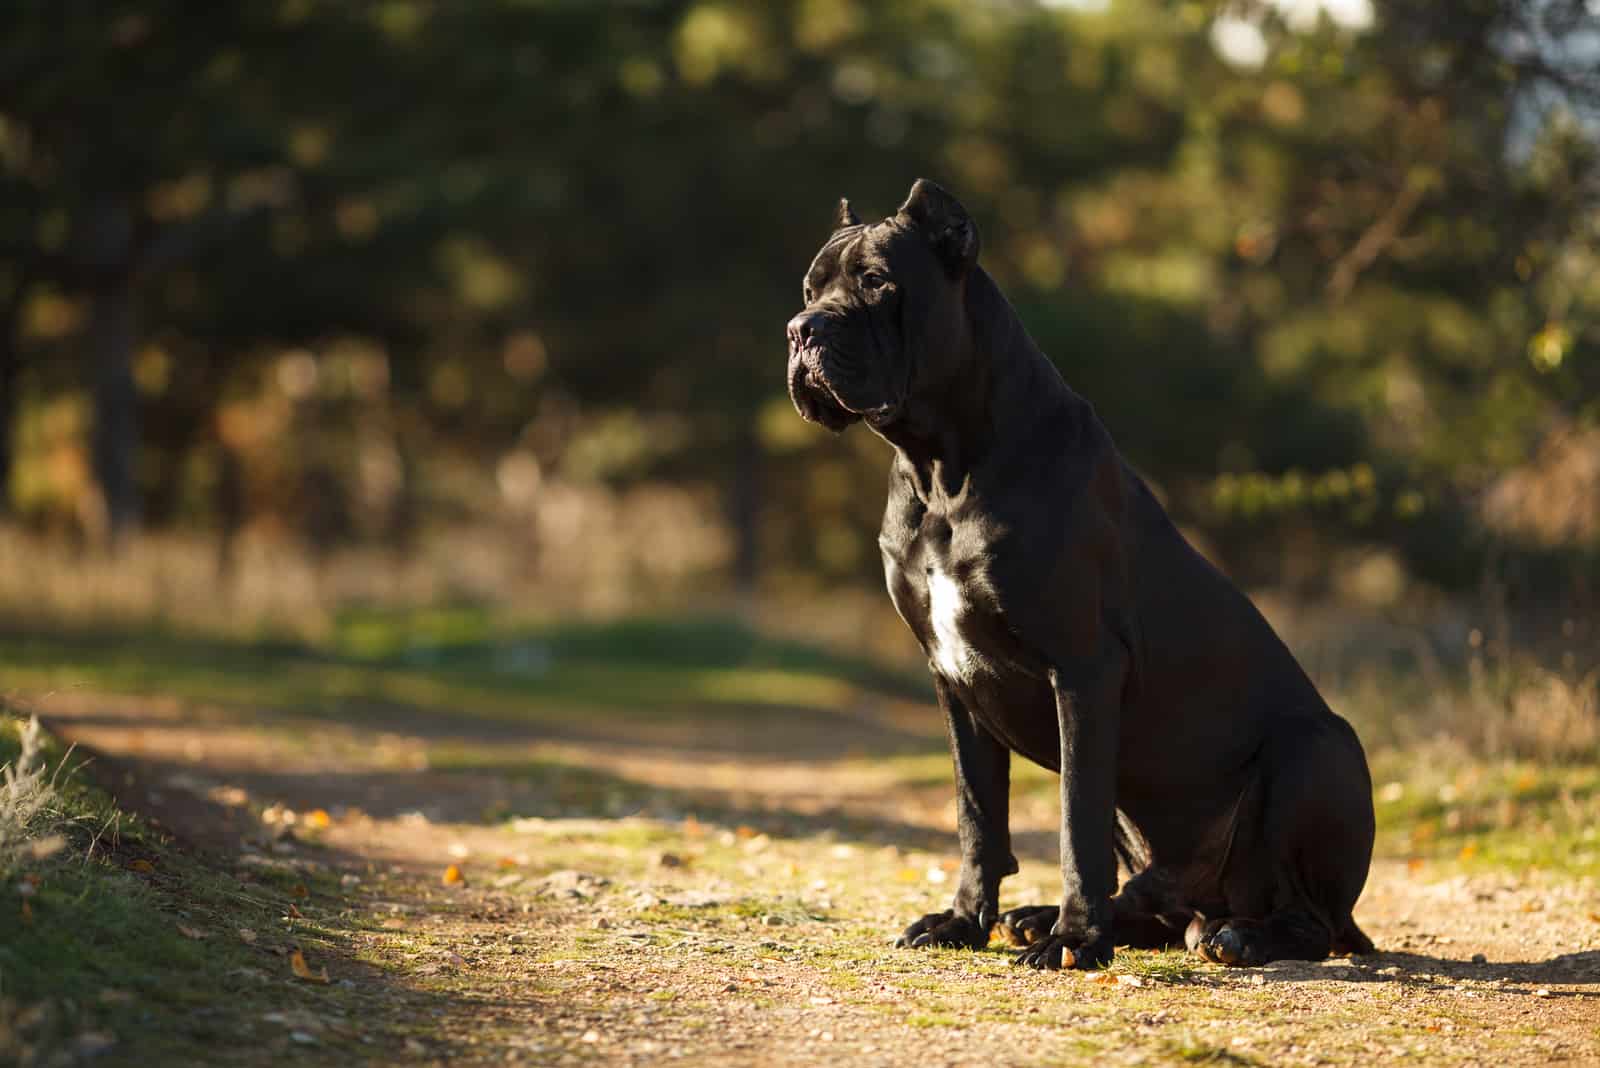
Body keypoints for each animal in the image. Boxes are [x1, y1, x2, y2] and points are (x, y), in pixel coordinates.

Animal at [787, 181, 1376, 965]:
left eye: (878, 282)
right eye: (810, 288)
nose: (801, 330)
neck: (942, 470)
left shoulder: (1084, 670)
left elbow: (1075, 820)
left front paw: (1076, 940)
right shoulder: (953, 683)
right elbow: (978, 818)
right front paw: (963, 922)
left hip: (1320, 751)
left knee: (1311, 920)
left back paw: (1240, 937)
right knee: (1161, 905)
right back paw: (1042, 917)